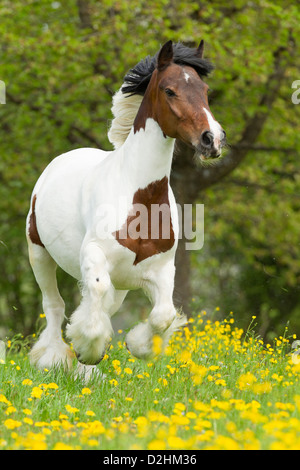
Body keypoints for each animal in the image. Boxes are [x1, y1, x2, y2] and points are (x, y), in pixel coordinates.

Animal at [26, 40, 225, 378]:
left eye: (205, 89)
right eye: (170, 90)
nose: (212, 139)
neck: (140, 199)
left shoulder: (160, 270)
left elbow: (163, 315)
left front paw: (136, 345)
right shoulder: (94, 255)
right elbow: (92, 294)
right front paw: (87, 349)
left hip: (120, 285)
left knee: (104, 305)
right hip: (38, 253)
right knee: (54, 305)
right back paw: (54, 359)